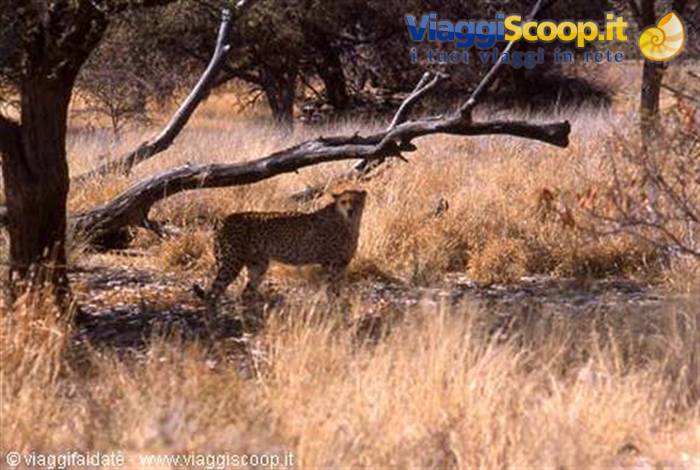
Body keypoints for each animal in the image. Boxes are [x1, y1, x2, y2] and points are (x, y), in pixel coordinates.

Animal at [193, 189, 367, 311]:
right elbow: (332, 288)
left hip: (258, 265)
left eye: (357, 201)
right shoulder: (329, 263)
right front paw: (335, 308)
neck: (348, 222)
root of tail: (224, 220)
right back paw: (212, 318)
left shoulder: (342, 263)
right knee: (213, 291)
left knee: (245, 293)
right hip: (231, 263)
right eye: (344, 202)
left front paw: (341, 306)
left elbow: (339, 286)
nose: (351, 211)